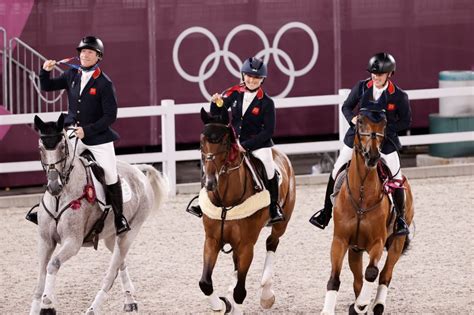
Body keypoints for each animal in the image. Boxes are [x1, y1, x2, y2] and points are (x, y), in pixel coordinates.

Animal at [28, 115, 168, 314]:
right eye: (40, 148)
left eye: (62, 147)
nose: (54, 186)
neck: (60, 197)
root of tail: (137, 171)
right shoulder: (45, 241)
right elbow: (40, 278)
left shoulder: (73, 242)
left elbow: (52, 264)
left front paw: (48, 304)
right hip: (111, 236)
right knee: (120, 263)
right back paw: (129, 299)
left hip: (130, 233)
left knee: (112, 272)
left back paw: (93, 308)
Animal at [197, 108, 294, 314]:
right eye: (202, 142)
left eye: (225, 142)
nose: (210, 182)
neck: (226, 201)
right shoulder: (212, 240)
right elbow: (205, 283)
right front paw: (221, 305)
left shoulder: (246, 245)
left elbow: (240, 291)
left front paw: (233, 304)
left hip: (282, 223)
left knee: (272, 242)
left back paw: (266, 294)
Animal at [318, 110, 414, 314]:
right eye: (360, 122)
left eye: (384, 125)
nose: (372, 156)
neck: (362, 193)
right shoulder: (340, 240)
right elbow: (335, 279)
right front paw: (332, 309)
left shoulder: (377, 241)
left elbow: (372, 272)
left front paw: (361, 305)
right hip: (355, 249)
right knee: (357, 281)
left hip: (397, 241)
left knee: (385, 274)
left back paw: (375, 305)